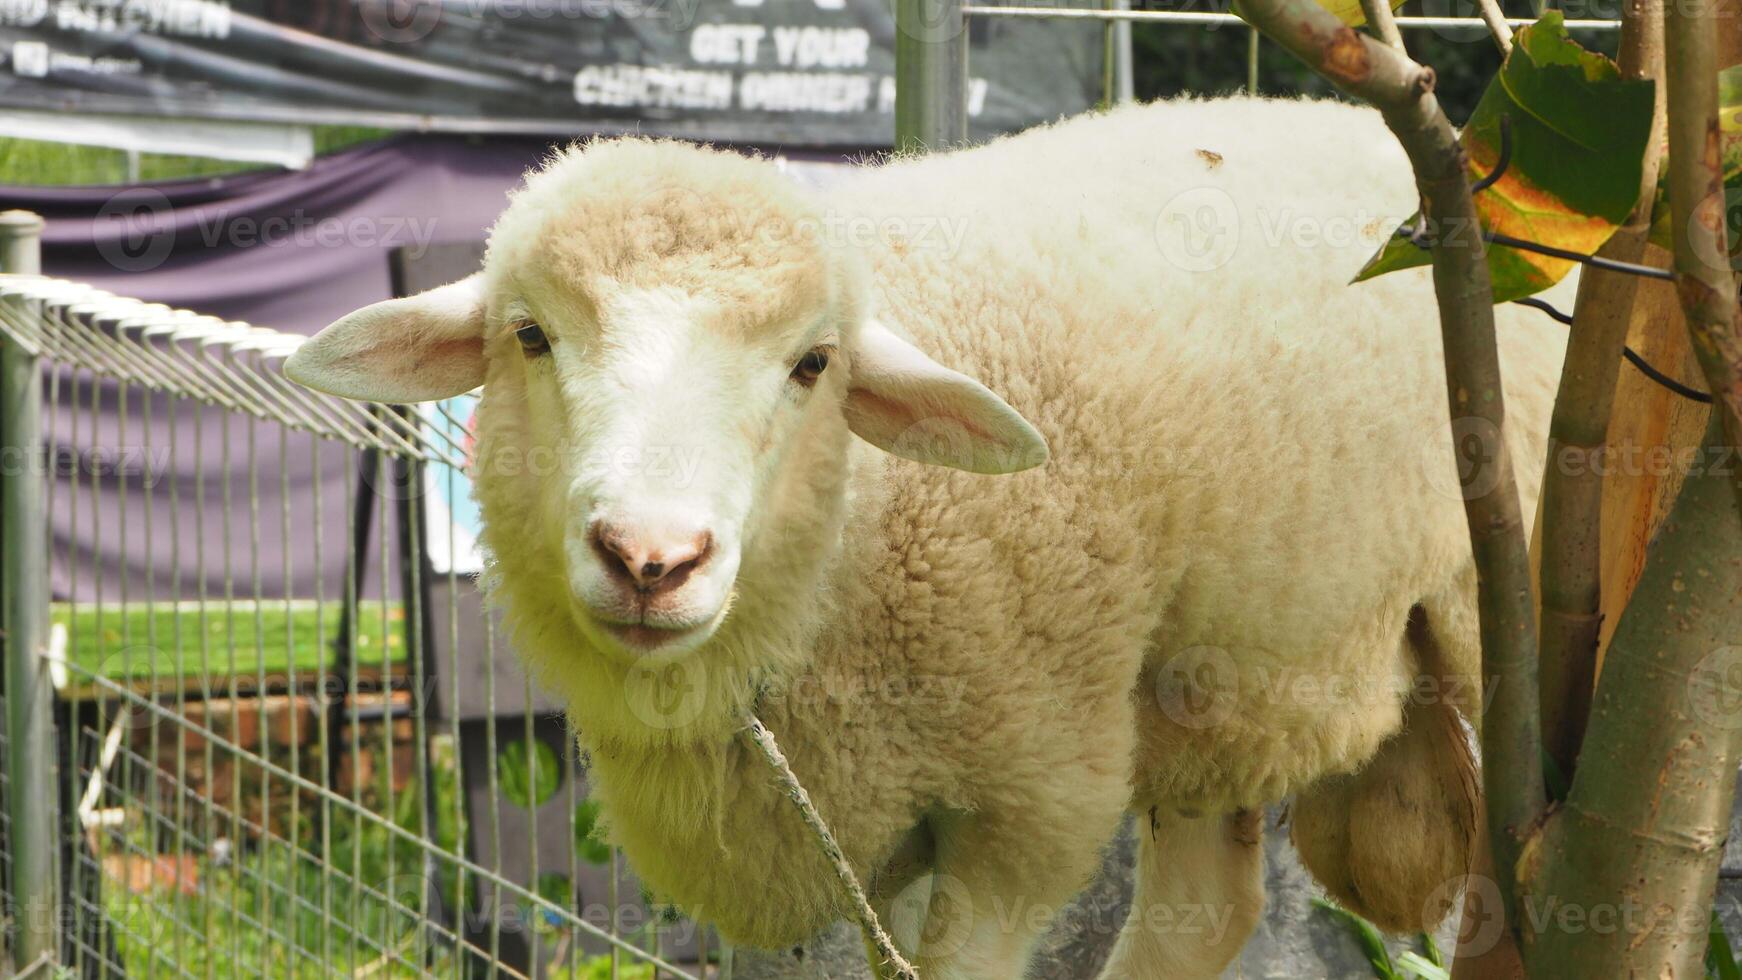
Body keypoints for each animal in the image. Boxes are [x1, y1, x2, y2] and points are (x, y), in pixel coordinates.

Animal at [282, 93, 1567, 980]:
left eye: (813, 364)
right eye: (529, 336)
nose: (650, 558)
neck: (861, 530)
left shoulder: (1024, 802)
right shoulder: (828, 824)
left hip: (1485, 614)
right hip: (1212, 684)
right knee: (1208, 907)